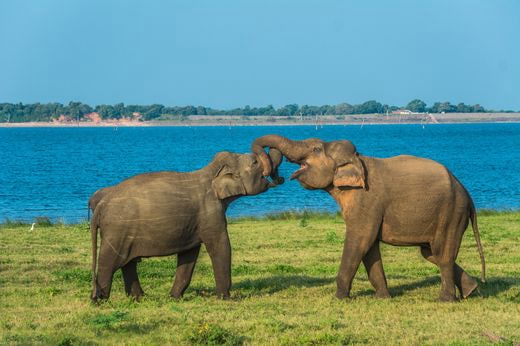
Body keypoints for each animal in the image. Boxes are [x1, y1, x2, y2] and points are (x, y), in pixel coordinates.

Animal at [91, 150, 282, 302]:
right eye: (255, 162)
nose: (278, 177)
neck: (211, 171)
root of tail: (100, 205)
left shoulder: (193, 223)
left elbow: (189, 254)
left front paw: (174, 297)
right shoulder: (210, 212)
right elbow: (220, 246)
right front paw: (226, 298)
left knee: (128, 263)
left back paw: (139, 298)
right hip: (117, 231)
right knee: (109, 262)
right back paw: (100, 300)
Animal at [252, 134, 484, 302]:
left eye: (316, 149)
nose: (277, 176)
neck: (357, 158)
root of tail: (467, 194)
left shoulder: (367, 200)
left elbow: (359, 240)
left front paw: (339, 299)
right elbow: (369, 247)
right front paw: (383, 298)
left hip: (451, 213)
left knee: (442, 254)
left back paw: (445, 300)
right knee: (430, 252)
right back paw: (471, 290)